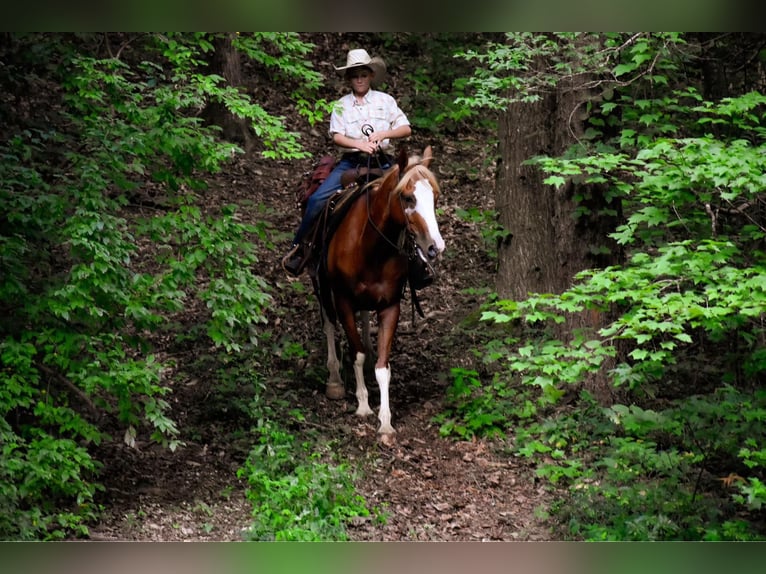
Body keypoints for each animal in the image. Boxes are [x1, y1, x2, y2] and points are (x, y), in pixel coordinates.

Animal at [312, 146, 445, 442]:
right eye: (408, 197)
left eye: (435, 197)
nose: (435, 247)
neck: (370, 247)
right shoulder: (343, 300)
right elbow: (356, 353)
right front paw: (362, 405)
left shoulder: (390, 305)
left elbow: (383, 367)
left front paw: (385, 421)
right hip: (322, 284)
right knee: (329, 324)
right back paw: (334, 378)